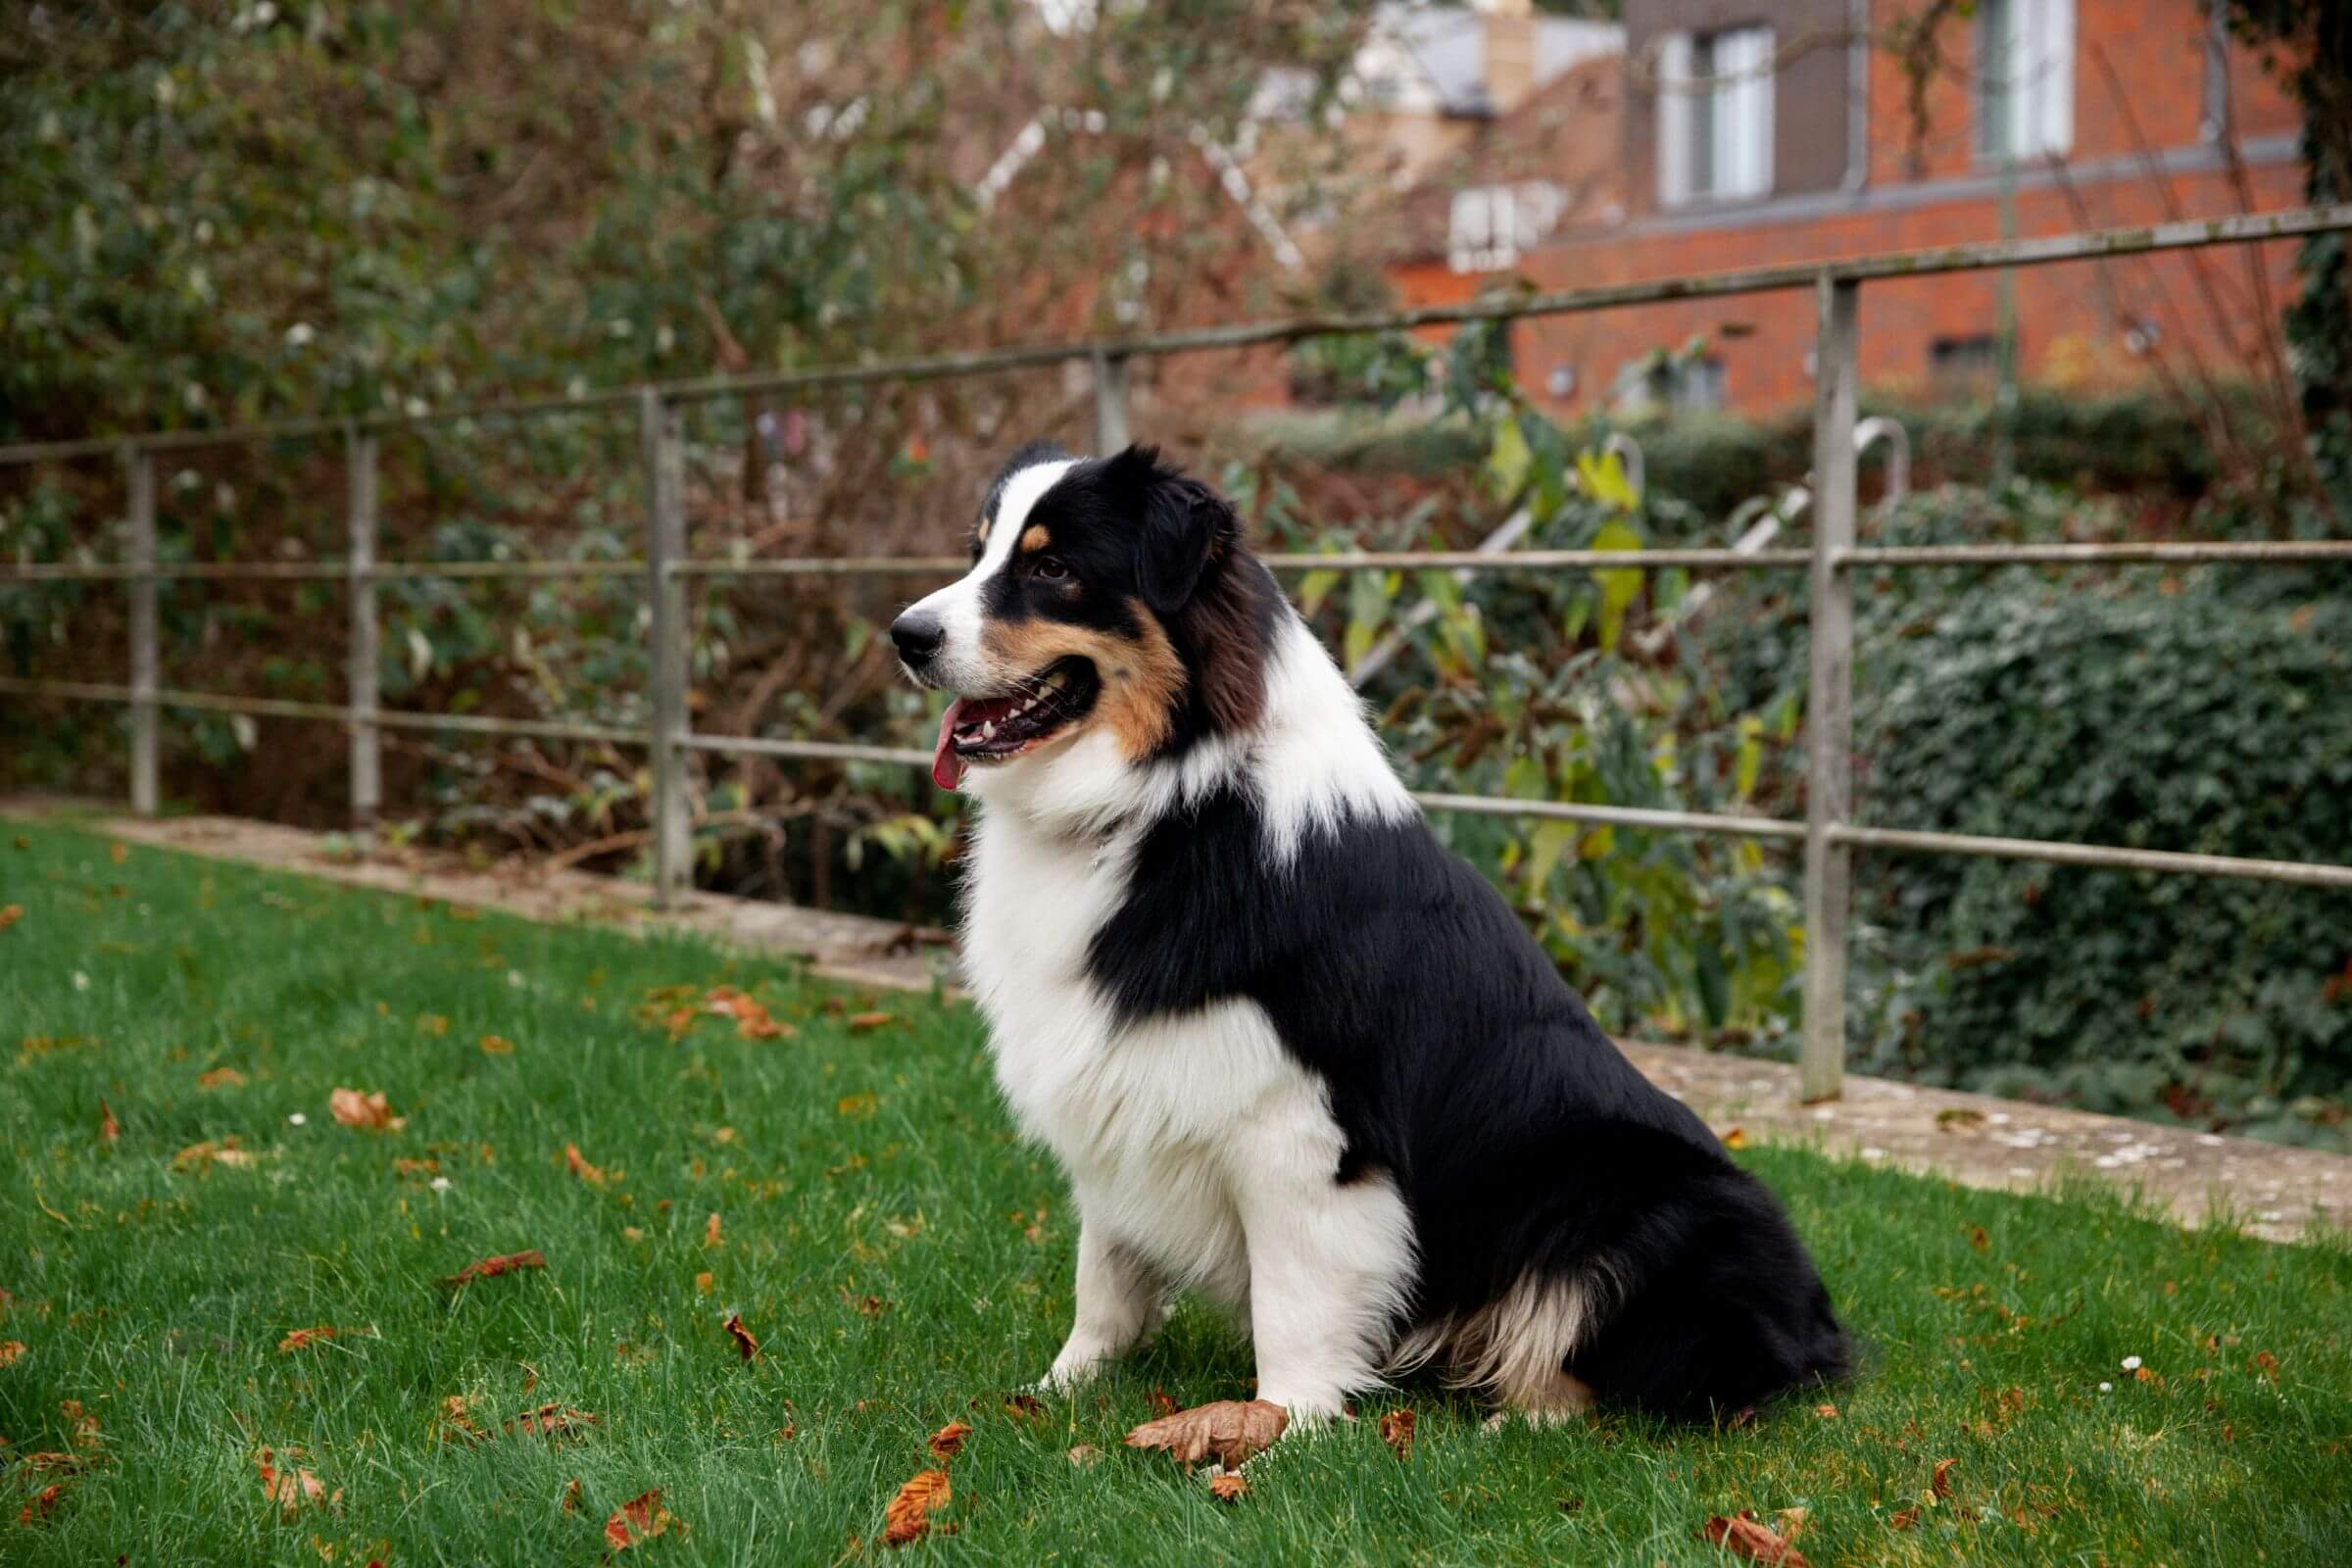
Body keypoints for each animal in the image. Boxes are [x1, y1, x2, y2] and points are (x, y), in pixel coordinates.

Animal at [889, 441, 1843, 1439]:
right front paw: (1058, 1394)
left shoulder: (1301, 1123)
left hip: (1653, 1203)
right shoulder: (1121, 1083)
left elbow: (1296, 1299)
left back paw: (1514, 1423)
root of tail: (1821, 1331)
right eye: (981, 552)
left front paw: (1284, 1429)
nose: (904, 636)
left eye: (1053, 569)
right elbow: (1105, 1273)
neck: (1166, 798)